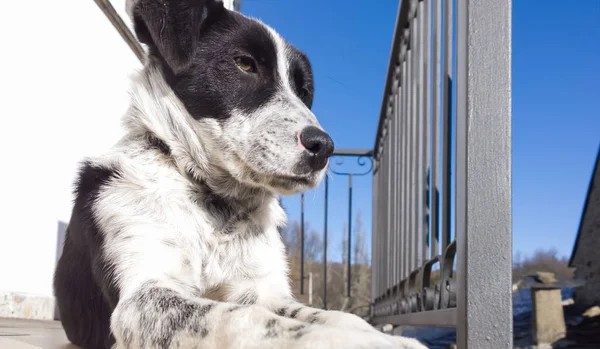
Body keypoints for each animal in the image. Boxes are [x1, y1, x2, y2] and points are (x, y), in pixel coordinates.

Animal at [52, 0, 426, 348]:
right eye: (244, 64)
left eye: (303, 91)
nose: (324, 147)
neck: (214, 202)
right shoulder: (142, 295)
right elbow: (244, 318)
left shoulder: (261, 289)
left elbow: (330, 315)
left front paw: (382, 335)